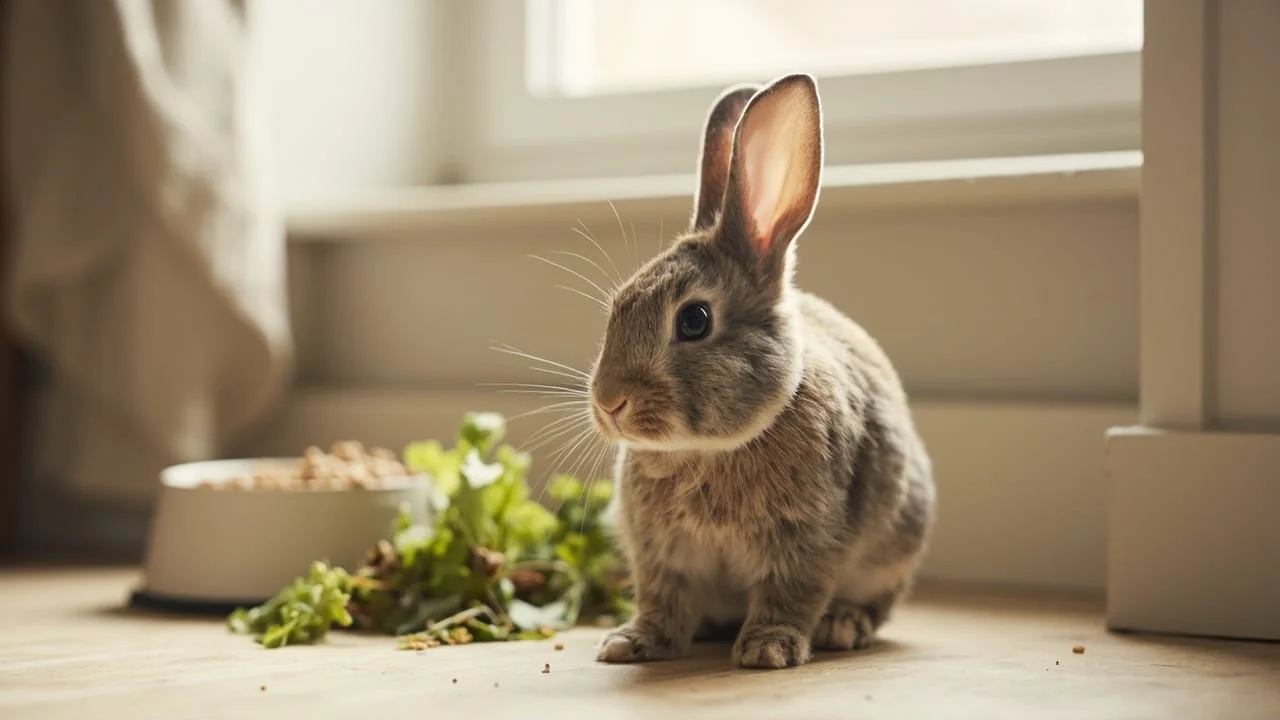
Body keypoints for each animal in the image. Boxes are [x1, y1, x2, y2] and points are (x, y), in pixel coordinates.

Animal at [586, 73, 937, 670]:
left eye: (695, 320)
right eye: (618, 306)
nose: (609, 402)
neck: (707, 451)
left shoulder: (808, 539)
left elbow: (790, 593)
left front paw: (768, 649)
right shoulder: (659, 554)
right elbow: (662, 597)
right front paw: (630, 643)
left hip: (896, 546)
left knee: (875, 604)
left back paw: (844, 626)